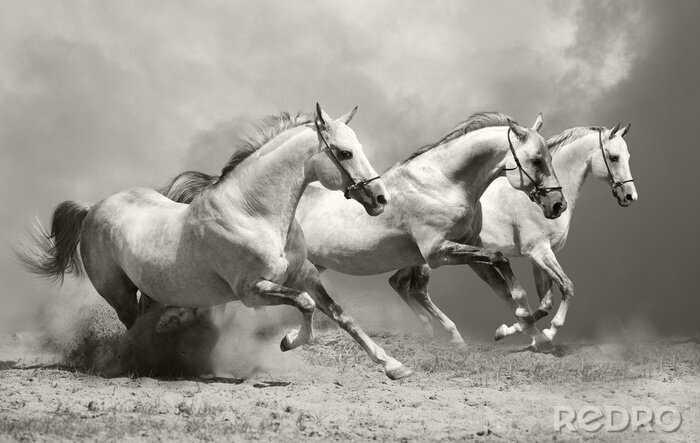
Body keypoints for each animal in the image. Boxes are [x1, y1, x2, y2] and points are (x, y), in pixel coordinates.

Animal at [18, 104, 417, 380]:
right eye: (345, 153)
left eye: (358, 147)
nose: (380, 199)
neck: (254, 213)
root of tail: (93, 208)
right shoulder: (253, 290)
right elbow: (305, 306)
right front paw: (288, 341)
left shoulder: (305, 276)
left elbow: (341, 315)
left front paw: (394, 366)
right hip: (118, 293)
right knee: (133, 328)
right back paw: (149, 364)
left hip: (153, 291)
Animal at [160, 112, 568, 348]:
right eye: (536, 159)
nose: (557, 205)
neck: (443, 182)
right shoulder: (439, 252)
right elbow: (502, 264)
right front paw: (526, 327)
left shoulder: (465, 247)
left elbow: (509, 285)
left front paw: (526, 330)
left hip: (312, 266)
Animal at [392, 123, 637, 345]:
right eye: (614, 157)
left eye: (627, 156)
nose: (630, 196)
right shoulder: (539, 252)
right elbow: (566, 287)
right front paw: (546, 332)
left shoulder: (539, 257)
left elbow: (545, 303)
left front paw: (510, 331)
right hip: (429, 259)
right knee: (418, 290)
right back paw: (452, 334)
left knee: (398, 283)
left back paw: (428, 329)